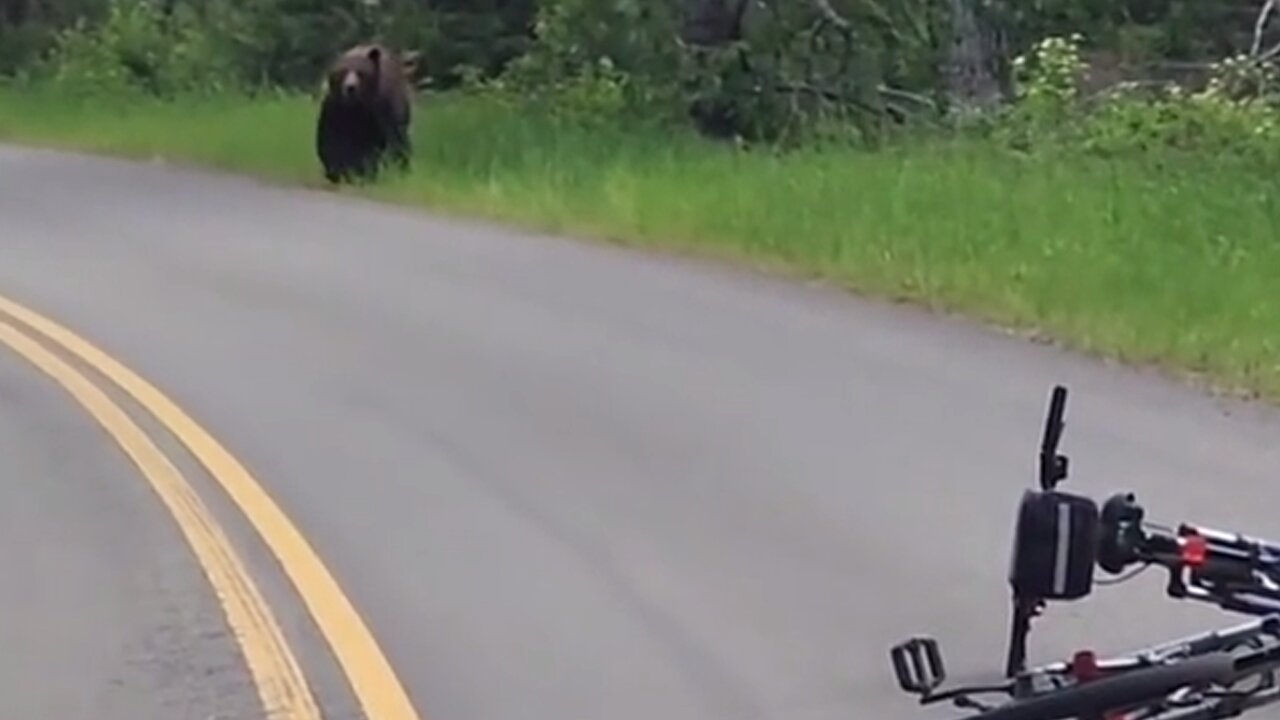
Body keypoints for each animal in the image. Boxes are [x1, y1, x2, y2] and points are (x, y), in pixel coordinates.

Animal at [314, 43, 419, 183]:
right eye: (343, 72)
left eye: (360, 72)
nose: (350, 87)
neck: (360, 105)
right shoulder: (336, 109)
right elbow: (333, 140)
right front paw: (342, 171)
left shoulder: (383, 108)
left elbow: (388, 140)